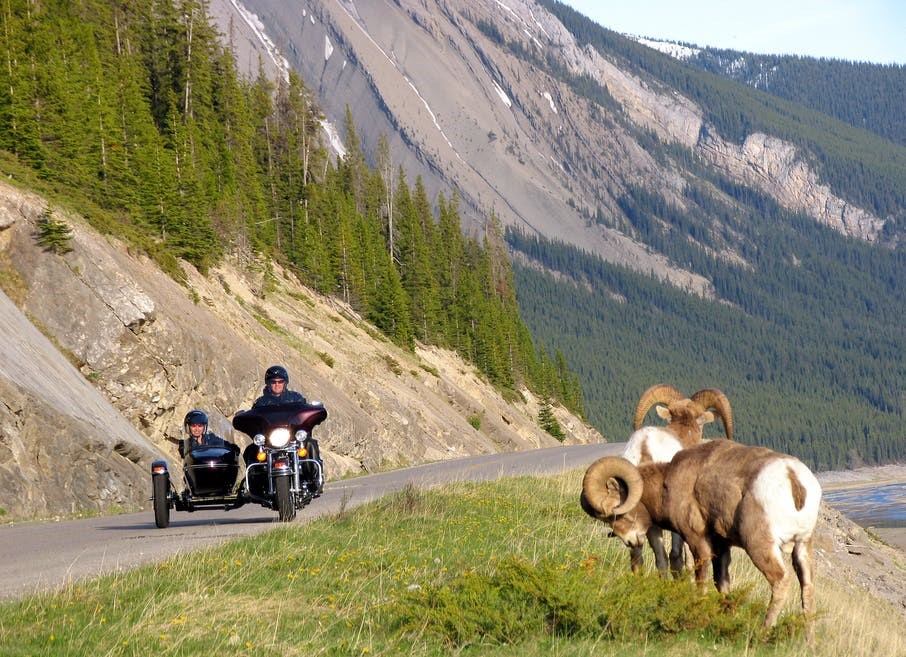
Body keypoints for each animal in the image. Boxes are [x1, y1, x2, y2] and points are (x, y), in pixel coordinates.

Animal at [581, 439, 822, 632]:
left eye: (614, 514)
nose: (631, 541)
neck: (667, 484)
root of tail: (792, 477)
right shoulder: (722, 547)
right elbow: (722, 584)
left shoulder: (697, 541)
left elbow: (701, 580)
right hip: (803, 545)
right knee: (807, 587)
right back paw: (808, 641)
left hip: (760, 546)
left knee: (781, 580)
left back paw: (763, 631)